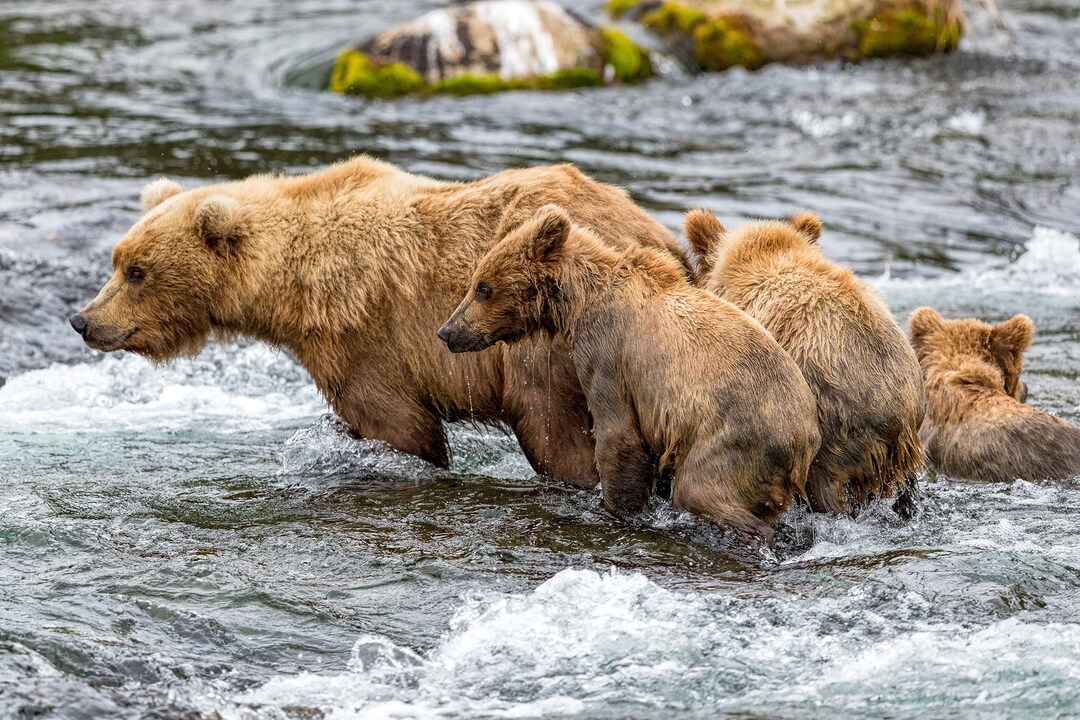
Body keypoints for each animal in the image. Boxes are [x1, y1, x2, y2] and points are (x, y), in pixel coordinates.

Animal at [71, 156, 693, 486]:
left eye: (138, 271)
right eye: (117, 261)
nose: (83, 320)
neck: (293, 286)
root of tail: (658, 236)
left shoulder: (366, 340)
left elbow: (399, 426)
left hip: (546, 346)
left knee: (553, 428)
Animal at [436, 205, 822, 542]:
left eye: (483, 287)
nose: (447, 331)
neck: (578, 303)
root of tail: (804, 440)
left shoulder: (606, 352)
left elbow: (617, 435)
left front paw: (616, 508)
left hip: (733, 438)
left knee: (700, 488)